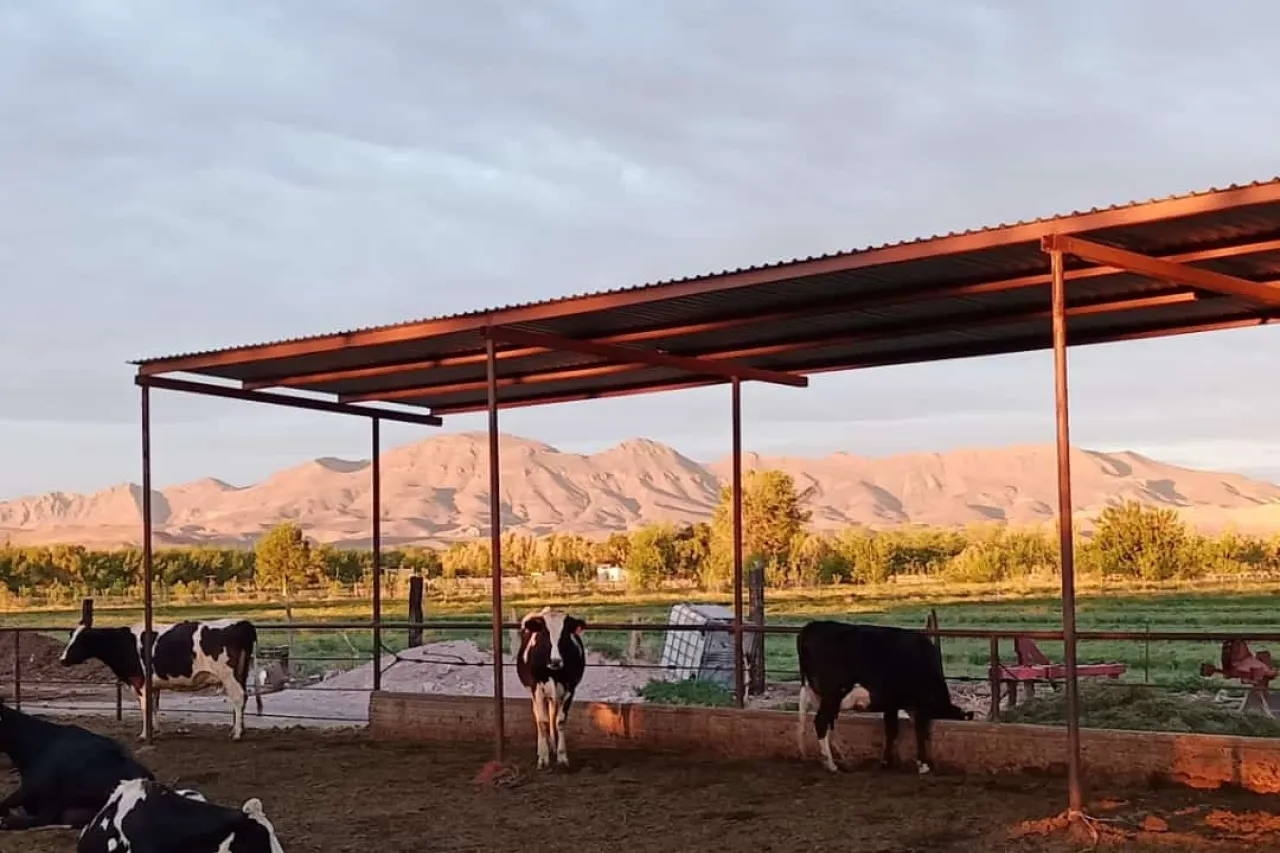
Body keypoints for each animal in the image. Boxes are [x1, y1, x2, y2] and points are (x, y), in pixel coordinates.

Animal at [60, 617, 262, 737]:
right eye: (70, 638)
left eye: (80, 640)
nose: (62, 660)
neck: (123, 643)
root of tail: (243, 623)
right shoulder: (153, 684)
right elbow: (154, 706)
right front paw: (156, 729)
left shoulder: (140, 682)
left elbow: (145, 707)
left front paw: (144, 734)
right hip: (241, 673)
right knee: (243, 699)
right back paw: (237, 729)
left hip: (229, 675)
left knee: (238, 698)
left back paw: (237, 734)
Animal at [512, 601, 586, 768]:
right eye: (545, 633)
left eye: (565, 634)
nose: (555, 661)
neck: (554, 671)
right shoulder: (537, 688)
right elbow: (543, 722)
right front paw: (543, 757)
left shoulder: (570, 689)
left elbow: (560, 720)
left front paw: (562, 756)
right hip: (535, 693)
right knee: (538, 716)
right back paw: (543, 747)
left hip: (554, 695)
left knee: (552, 714)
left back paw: (552, 745)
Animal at [788, 617, 967, 768]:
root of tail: (812, 626)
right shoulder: (920, 704)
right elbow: (920, 731)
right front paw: (923, 765)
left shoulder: (892, 704)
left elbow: (891, 730)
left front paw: (886, 761)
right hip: (833, 694)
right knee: (821, 721)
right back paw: (831, 764)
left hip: (820, 694)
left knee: (818, 722)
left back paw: (840, 758)